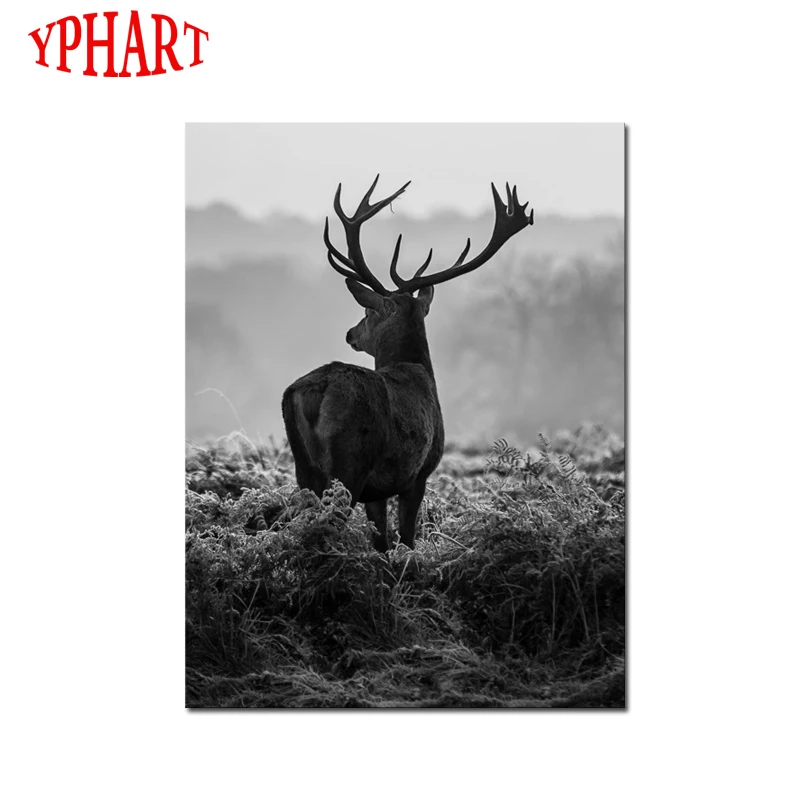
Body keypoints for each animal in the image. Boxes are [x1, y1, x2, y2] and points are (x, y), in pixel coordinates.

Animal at [282, 176, 533, 550]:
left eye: (368, 311)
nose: (350, 333)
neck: (418, 370)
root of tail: (316, 390)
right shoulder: (418, 474)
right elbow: (407, 540)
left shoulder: (378, 491)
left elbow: (382, 542)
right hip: (351, 462)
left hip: (304, 466)